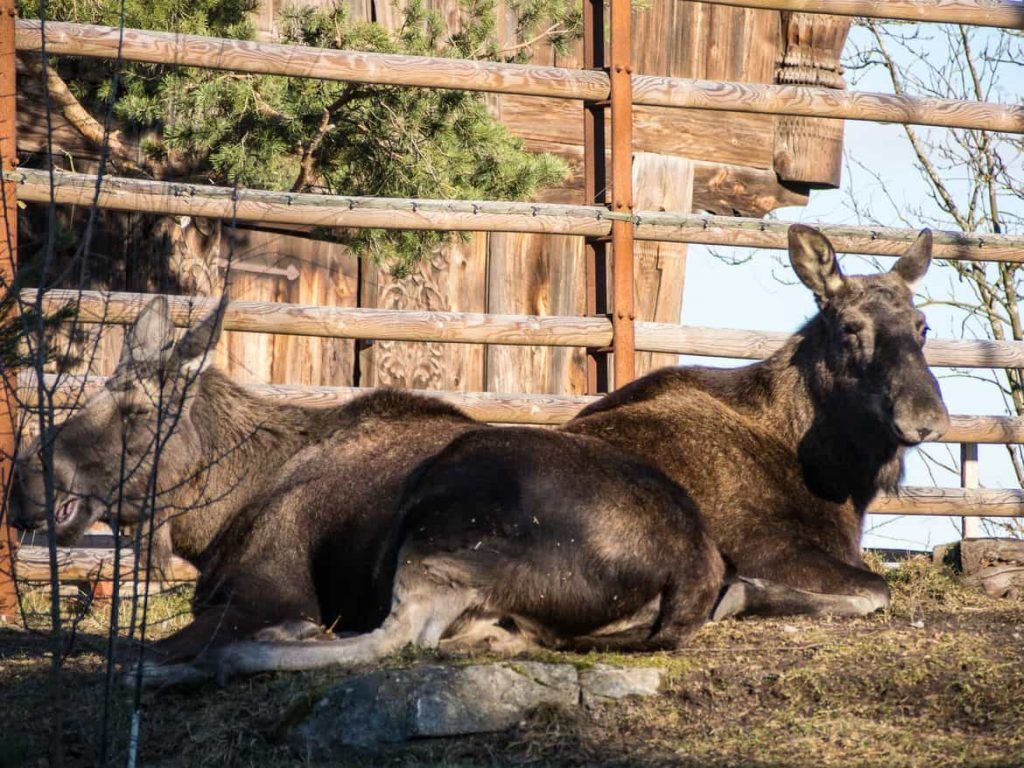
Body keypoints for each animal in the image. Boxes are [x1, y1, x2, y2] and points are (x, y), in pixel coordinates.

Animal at [12, 224, 946, 684]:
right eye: (852, 328)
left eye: (135, 407)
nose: (22, 478)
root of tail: (683, 562)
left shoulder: (265, 582)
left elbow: (140, 645)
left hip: (444, 513)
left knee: (403, 634)